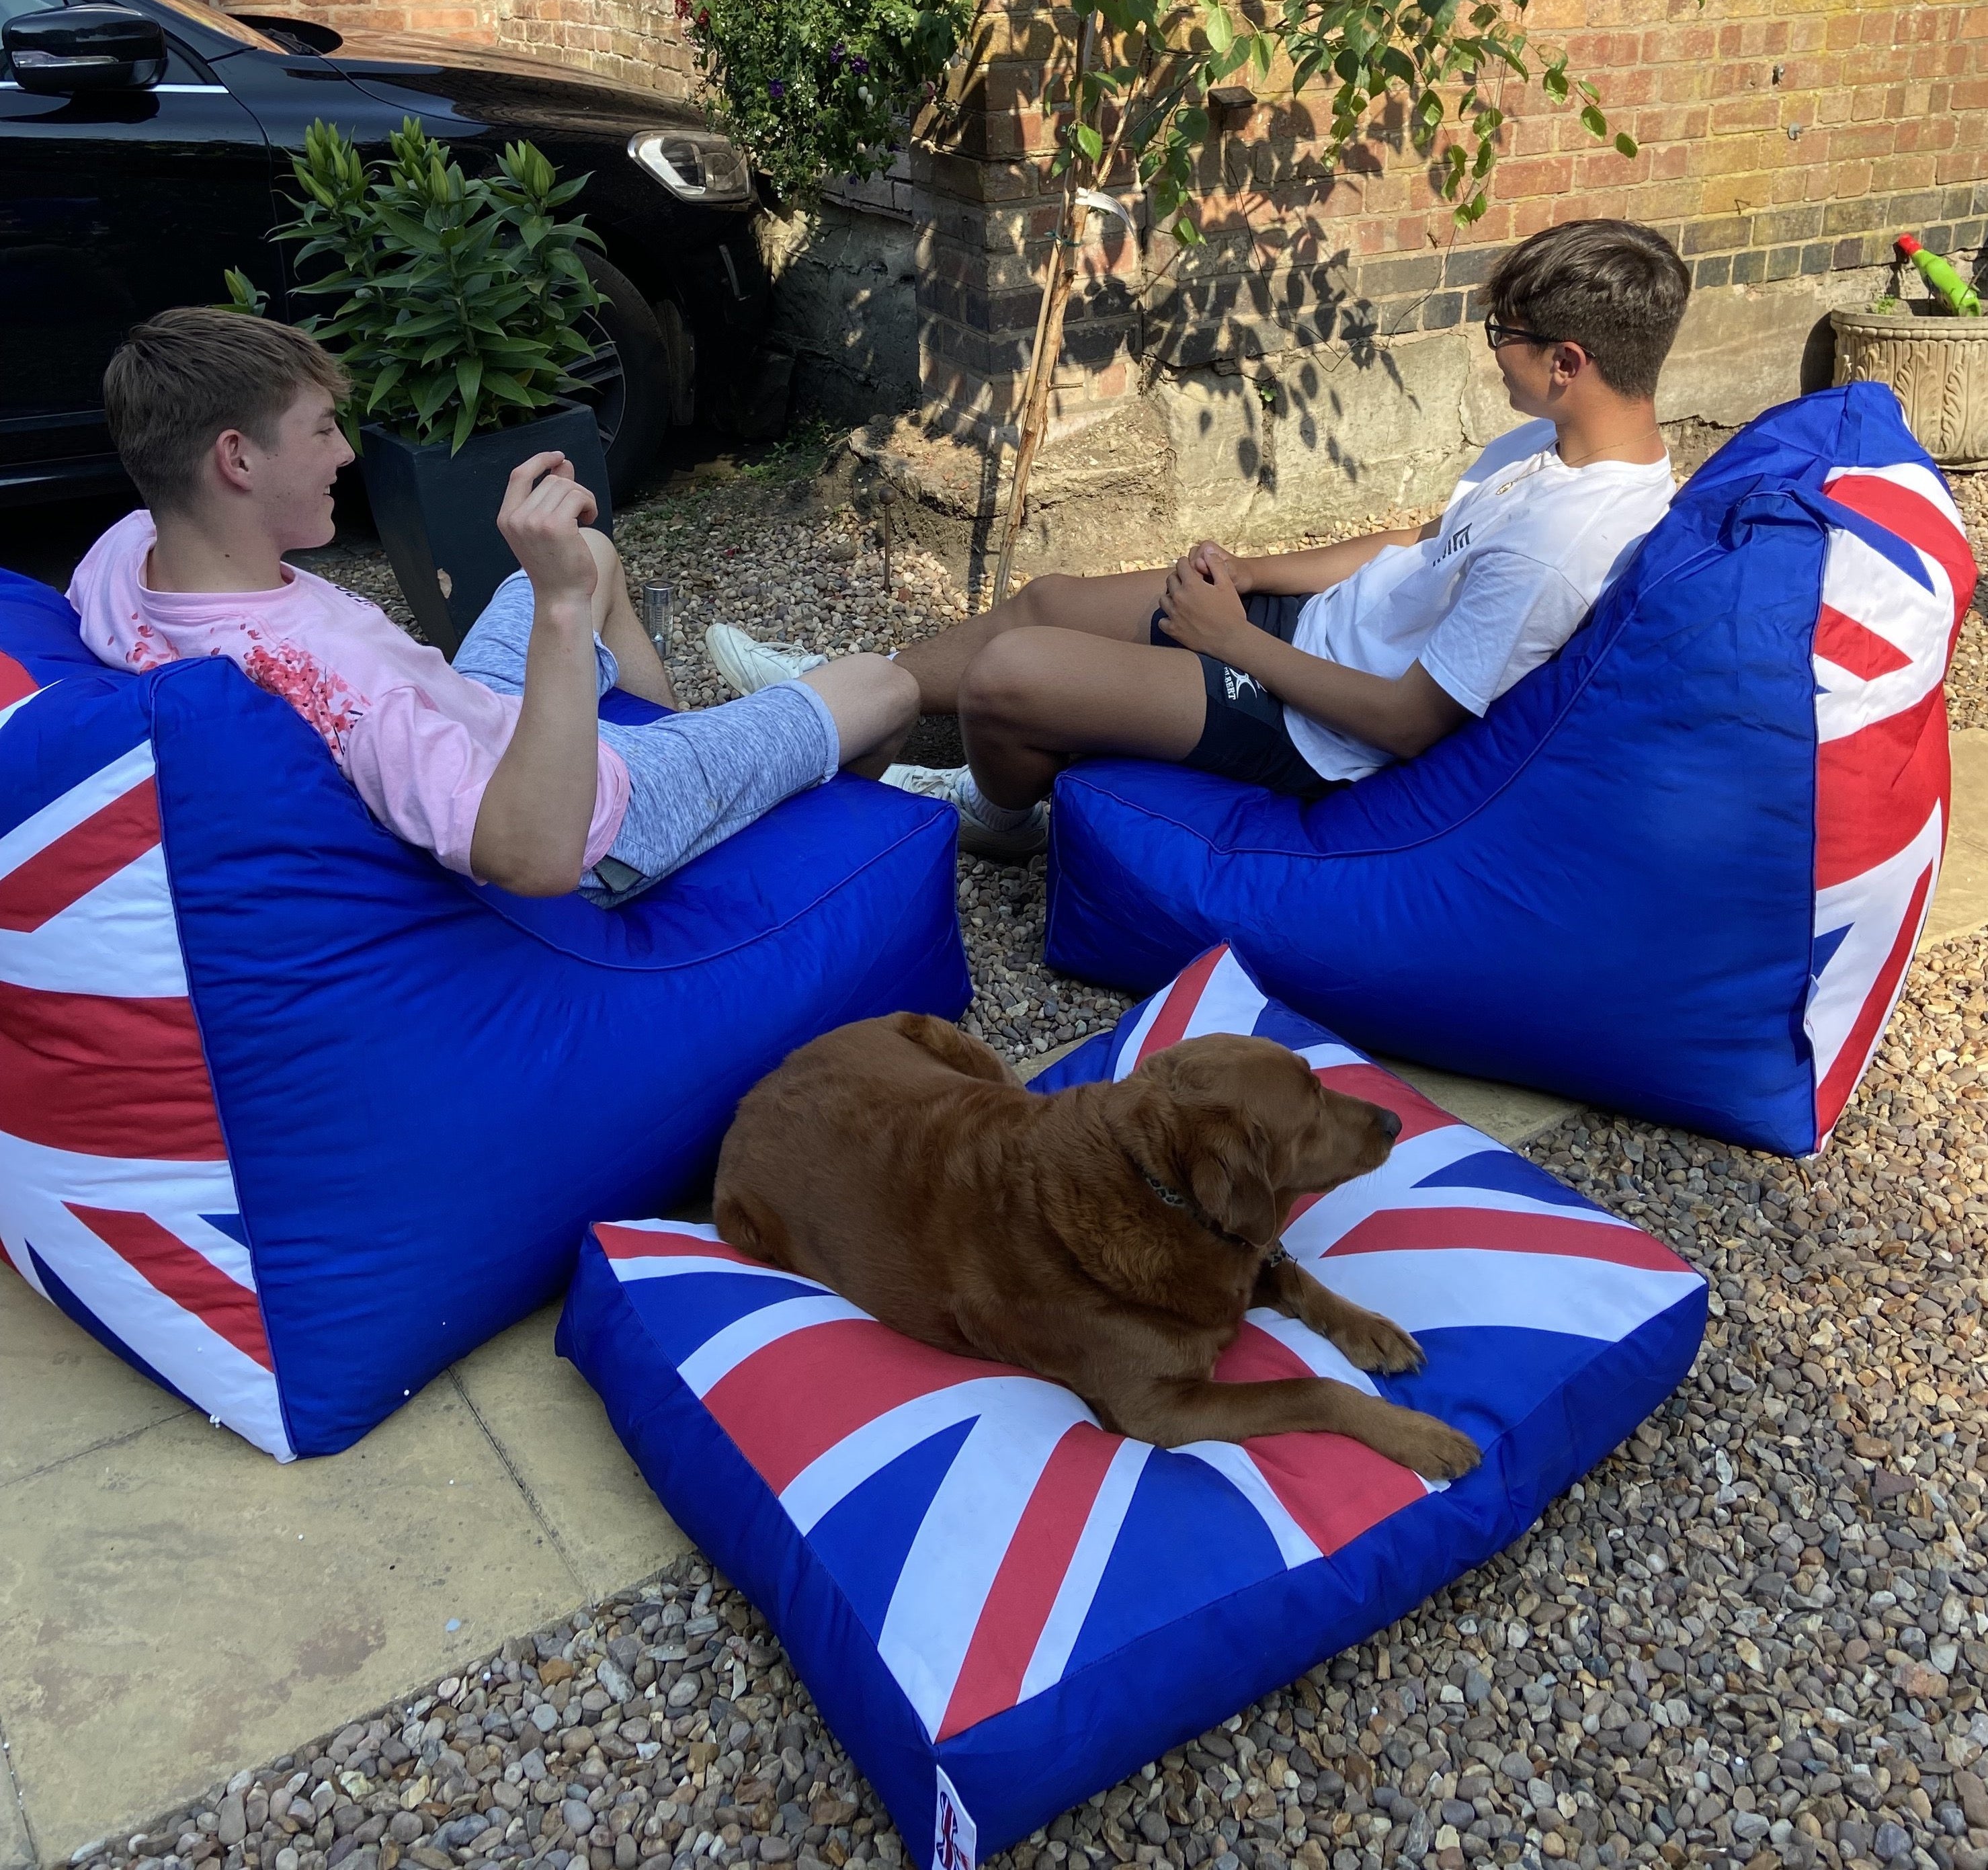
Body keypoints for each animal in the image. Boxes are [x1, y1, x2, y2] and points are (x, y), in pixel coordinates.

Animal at [711, 1013, 1479, 1478]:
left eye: (1318, 1080)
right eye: (1312, 1103)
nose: (1393, 1119)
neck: (1158, 1190)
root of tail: (759, 1085)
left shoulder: (1234, 1261)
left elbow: (1294, 1275)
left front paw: (1372, 1330)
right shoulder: (1161, 1409)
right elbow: (1310, 1388)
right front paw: (1423, 1437)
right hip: (742, 1223)